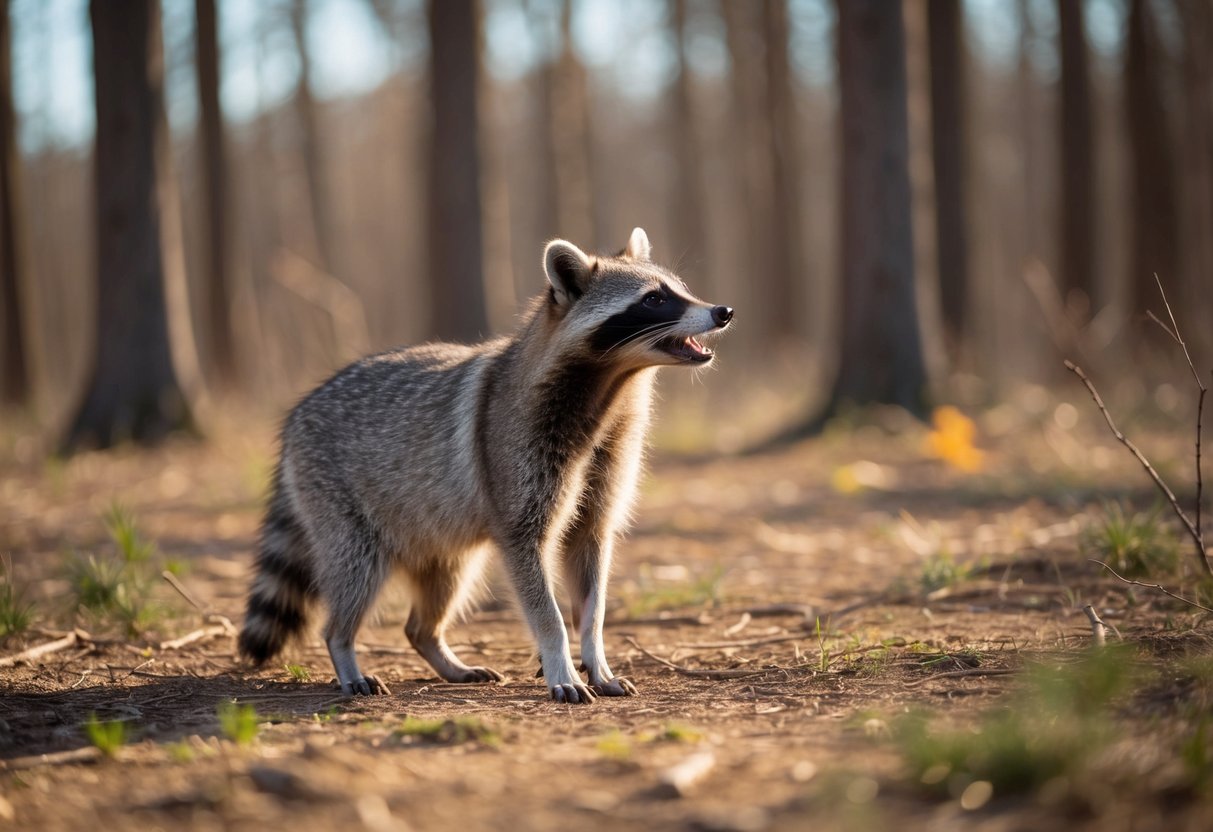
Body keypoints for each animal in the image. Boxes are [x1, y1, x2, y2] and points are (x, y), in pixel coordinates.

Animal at [238, 228, 733, 703]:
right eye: (653, 299)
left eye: (681, 289)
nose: (722, 311)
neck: (611, 386)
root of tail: (297, 417)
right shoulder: (515, 457)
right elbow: (538, 590)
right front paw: (560, 659)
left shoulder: (609, 458)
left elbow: (592, 570)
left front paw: (595, 656)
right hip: (338, 499)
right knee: (354, 572)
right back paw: (343, 646)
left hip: (434, 529)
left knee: (440, 588)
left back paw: (434, 644)